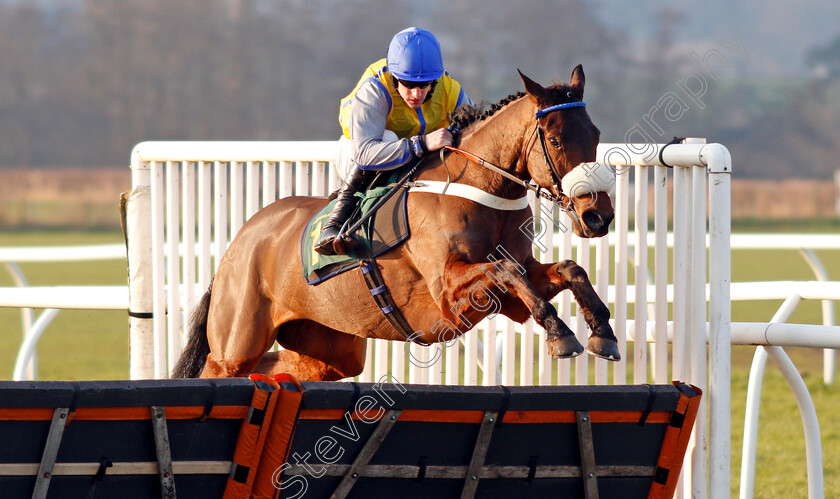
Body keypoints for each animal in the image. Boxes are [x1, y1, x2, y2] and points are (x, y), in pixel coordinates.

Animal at [172, 64, 616, 380]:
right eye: (554, 139)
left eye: (596, 134)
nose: (599, 216)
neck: (480, 188)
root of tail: (238, 244)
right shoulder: (448, 290)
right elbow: (506, 269)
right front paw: (560, 334)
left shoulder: (510, 292)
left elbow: (568, 269)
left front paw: (601, 333)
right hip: (236, 345)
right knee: (216, 370)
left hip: (329, 350)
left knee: (275, 372)